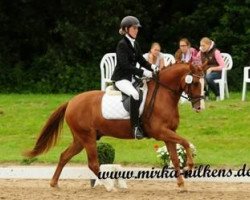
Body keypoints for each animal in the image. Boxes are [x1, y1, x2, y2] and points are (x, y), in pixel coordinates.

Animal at [23, 63, 207, 190]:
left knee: (64, 156)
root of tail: (71, 101)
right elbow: (185, 142)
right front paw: (190, 166)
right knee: (93, 164)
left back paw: (54, 183)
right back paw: (109, 186)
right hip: (87, 137)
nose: (200, 107)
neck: (163, 95)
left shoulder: (168, 133)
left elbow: (175, 158)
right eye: (195, 83)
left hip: (80, 139)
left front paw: (182, 185)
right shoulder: (160, 132)